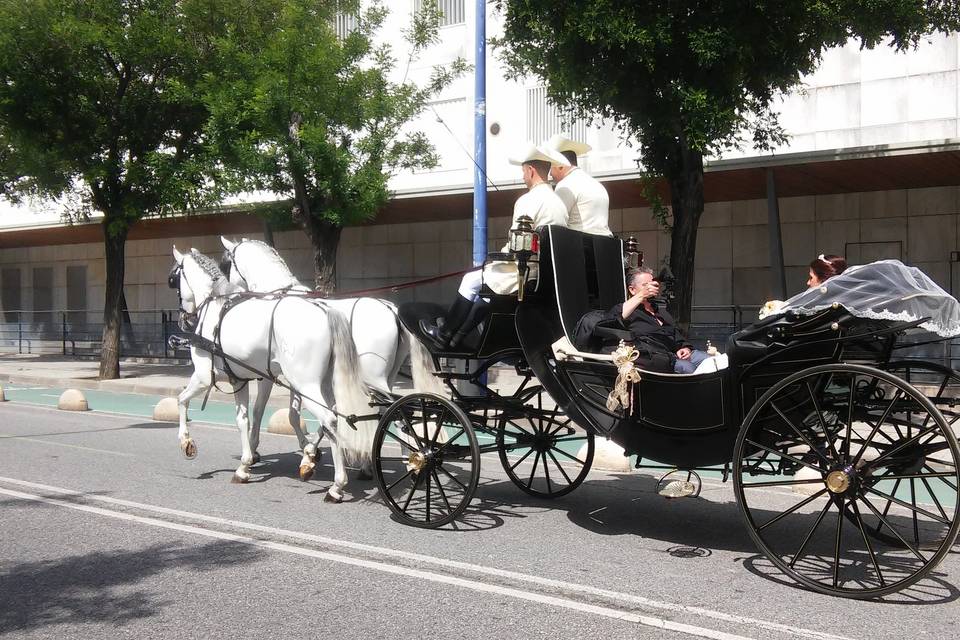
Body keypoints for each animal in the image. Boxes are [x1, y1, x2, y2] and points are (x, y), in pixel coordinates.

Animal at [171, 244, 374, 500]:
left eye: (174, 279)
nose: (183, 318)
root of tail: (326, 311)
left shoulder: (204, 378)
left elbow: (181, 400)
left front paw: (186, 441)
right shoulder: (240, 380)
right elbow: (244, 419)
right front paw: (245, 465)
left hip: (306, 385)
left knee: (330, 420)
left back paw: (336, 485)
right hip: (326, 384)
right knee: (339, 416)